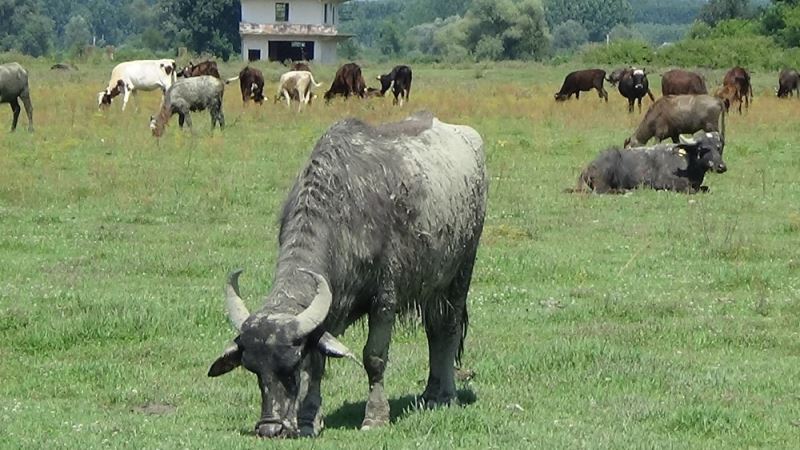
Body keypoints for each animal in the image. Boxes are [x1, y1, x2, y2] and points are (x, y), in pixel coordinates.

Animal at [207, 111, 487, 439]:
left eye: (291, 366)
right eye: (253, 368)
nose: (270, 428)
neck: (344, 211)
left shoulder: (385, 298)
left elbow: (374, 357)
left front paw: (375, 417)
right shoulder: (327, 306)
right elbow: (318, 362)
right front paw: (309, 419)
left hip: (460, 273)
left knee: (448, 329)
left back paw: (445, 396)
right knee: (434, 331)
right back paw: (430, 393)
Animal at [572, 131, 727, 194]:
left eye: (718, 147)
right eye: (702, 148)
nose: (721, 167)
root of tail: (587, 167)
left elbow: (706, 188)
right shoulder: (663, 183)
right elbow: (690, 189)